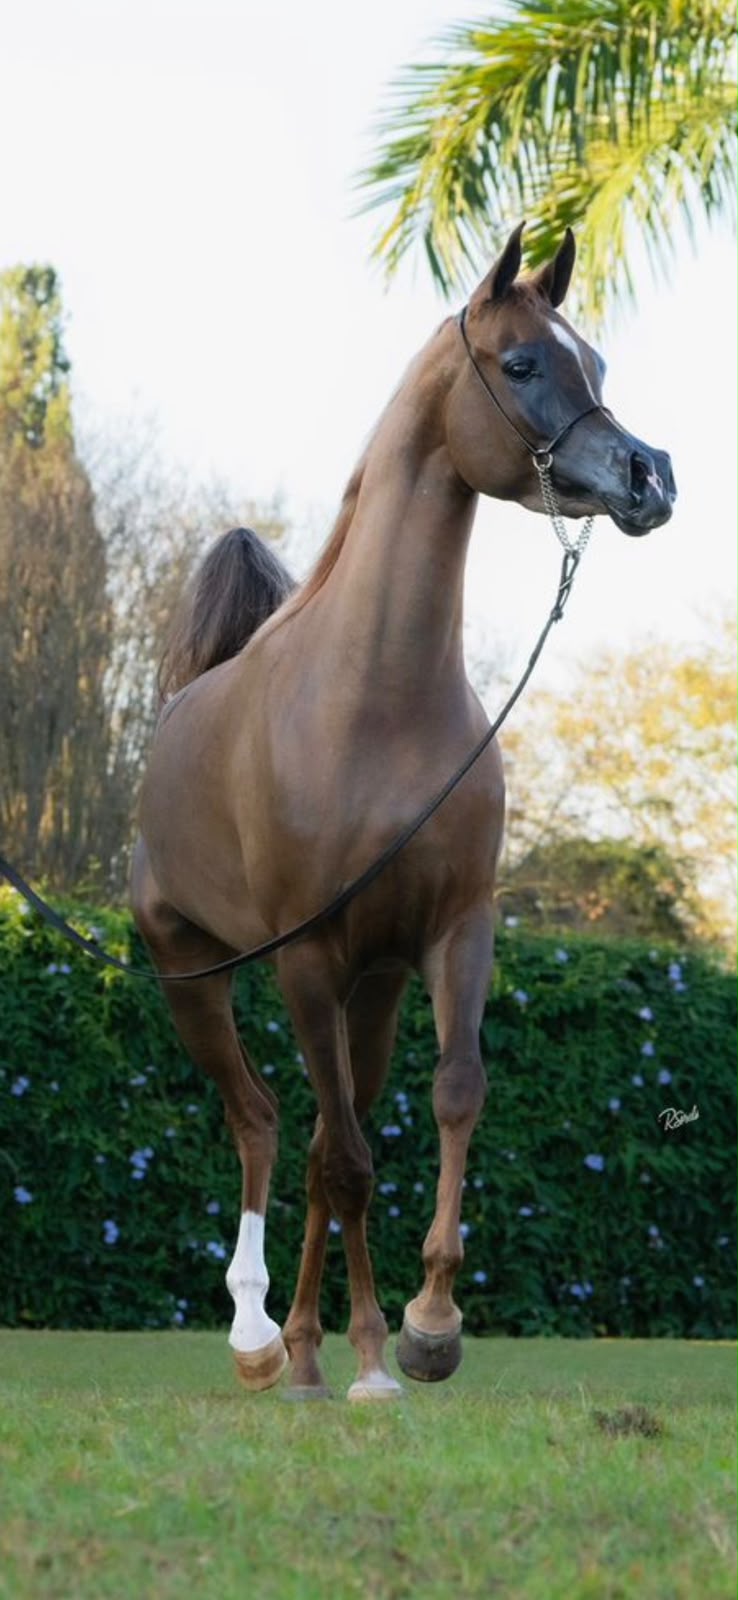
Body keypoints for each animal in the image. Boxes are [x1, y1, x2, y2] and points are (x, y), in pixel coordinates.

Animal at [132, 224, 675, 1401]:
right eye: (522, 362)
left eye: (600, 362)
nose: (651, 475)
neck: (375, 701)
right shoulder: (306, 958)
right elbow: (342, 1159)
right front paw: (372, 1352)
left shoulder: (453, 932)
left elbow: (452, 1096)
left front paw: (423, 1328)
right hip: (198, 975)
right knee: (264, 1122)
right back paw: (261, 1339)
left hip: (368, 992)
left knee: (325, 1136)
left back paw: (309, 1348)